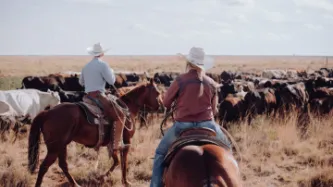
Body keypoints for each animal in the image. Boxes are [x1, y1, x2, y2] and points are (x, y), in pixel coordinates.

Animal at [27, 79, 162, 186]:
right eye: (157, 93)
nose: (161, 107)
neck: (127, 108)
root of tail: (47, 113)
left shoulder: (111, 143)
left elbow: (116, 160)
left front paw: (104, 177)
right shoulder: (126, 141)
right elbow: (123, 161)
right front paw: (124, 181)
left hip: (61, 146)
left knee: (63, 165)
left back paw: (75, 184)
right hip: (54, 148)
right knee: (44, 167)